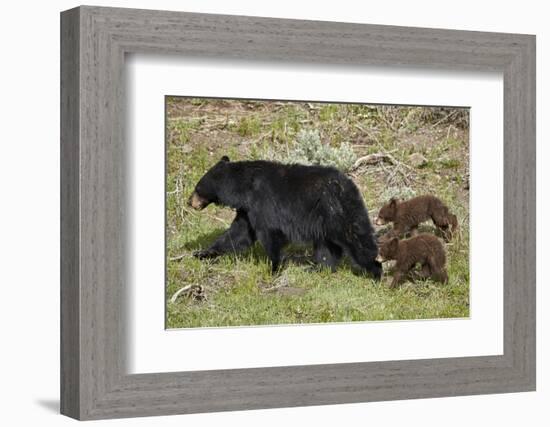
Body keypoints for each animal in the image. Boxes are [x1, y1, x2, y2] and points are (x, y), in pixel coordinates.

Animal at [188, 155, 382, 280]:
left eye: (197, 188)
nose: (189, 202)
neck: (244, 188)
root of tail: (348, 184)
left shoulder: (263, 203)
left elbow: (270, 234)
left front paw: (273, 269)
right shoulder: (248, 210)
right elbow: (238, 234)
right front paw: (202, 253)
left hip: (338, 211)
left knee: (357, 240)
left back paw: (376, 272)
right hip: (325, 221)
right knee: (327, 248)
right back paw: (318, 269)